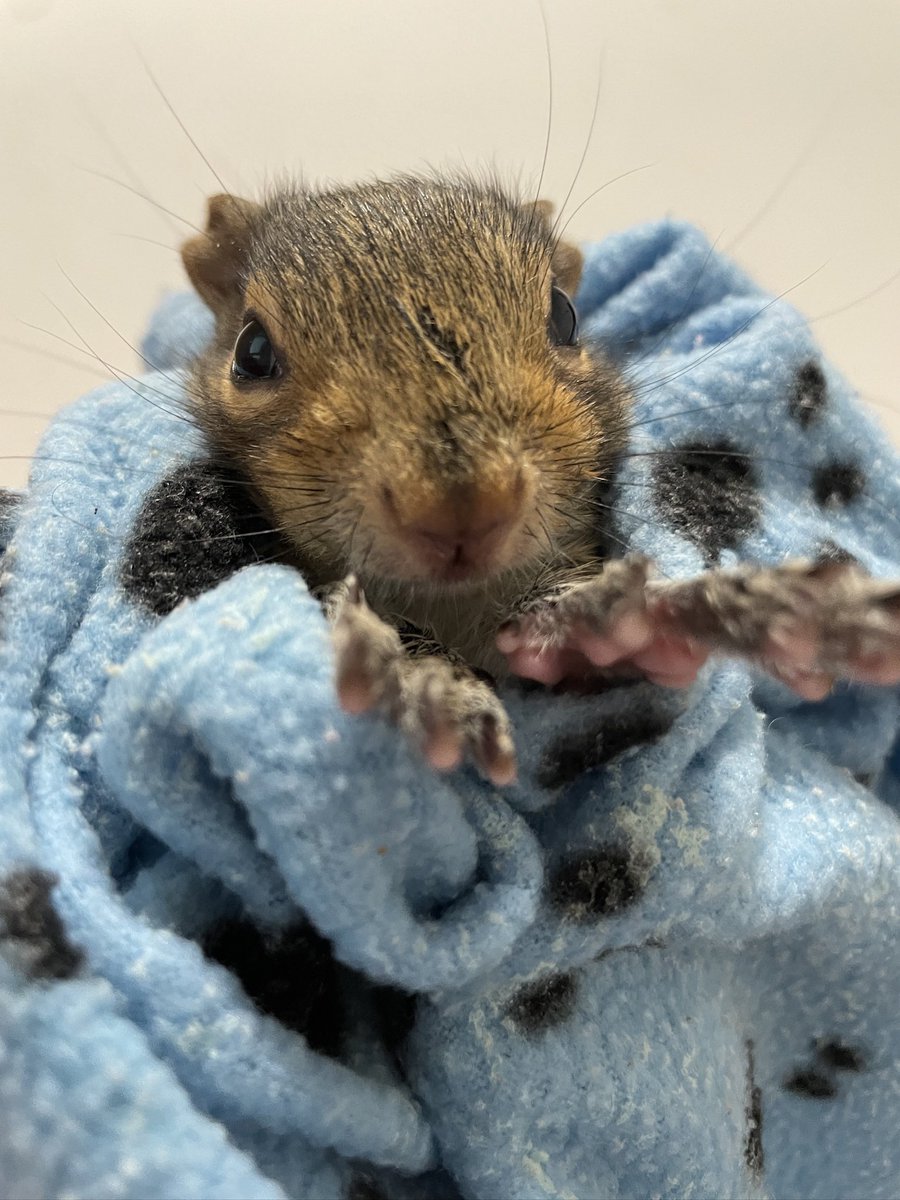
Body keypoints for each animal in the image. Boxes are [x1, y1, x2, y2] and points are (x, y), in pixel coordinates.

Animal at [181, 173, 900, 785]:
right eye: (251, 352)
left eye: (564, 315)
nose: (463, 510)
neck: (458, 608)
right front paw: (417, 675)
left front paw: (663, 615)